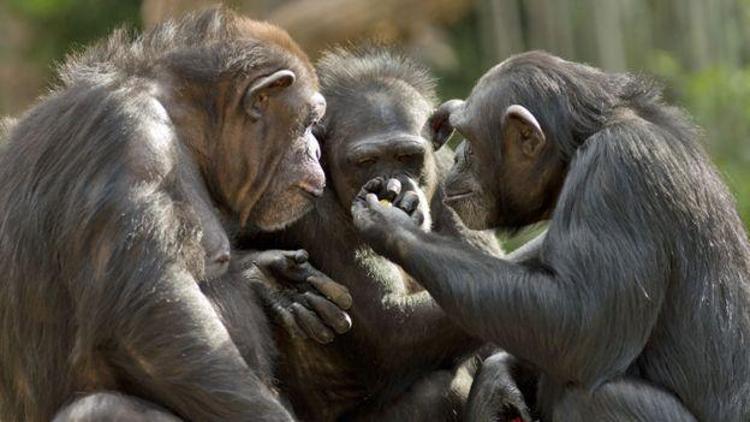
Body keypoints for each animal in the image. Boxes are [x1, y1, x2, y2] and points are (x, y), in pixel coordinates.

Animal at [0, 7, 352, 422]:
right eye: (310, 122)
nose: (316, 150)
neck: (183, 123)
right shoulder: (130, 140)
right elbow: (154, 321)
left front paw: (272, 280)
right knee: (102, 406)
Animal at [247, 47, 512, 422]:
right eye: (366, 161)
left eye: (407, 156)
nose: (393, 185)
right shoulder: (307, 207)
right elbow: (389, 324)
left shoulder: (453, 175)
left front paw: (500, 379)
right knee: (438, 390)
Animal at [352, 51, 750, 420]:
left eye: (468, 137)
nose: (459, 155)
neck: (579, 145)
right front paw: (497, 383)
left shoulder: (618, 172)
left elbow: (581, 322)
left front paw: (390, 223)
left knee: (593, 396)